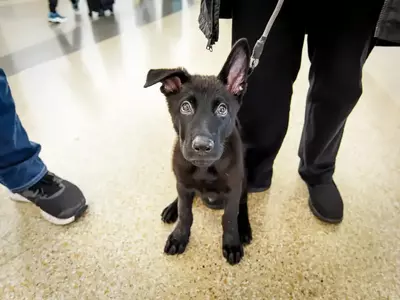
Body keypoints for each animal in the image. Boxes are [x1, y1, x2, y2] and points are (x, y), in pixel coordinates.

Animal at [143, 38, 250, 264]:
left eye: (222, 109)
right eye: (185, 107)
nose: (201, 147)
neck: (204, 169)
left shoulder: (234, 189)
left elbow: (230, 217)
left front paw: (232, 242)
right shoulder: (183, 184)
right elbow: (185, 213)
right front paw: (179, 236)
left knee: (243, 203)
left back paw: (244, 228)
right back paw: (171, 208)